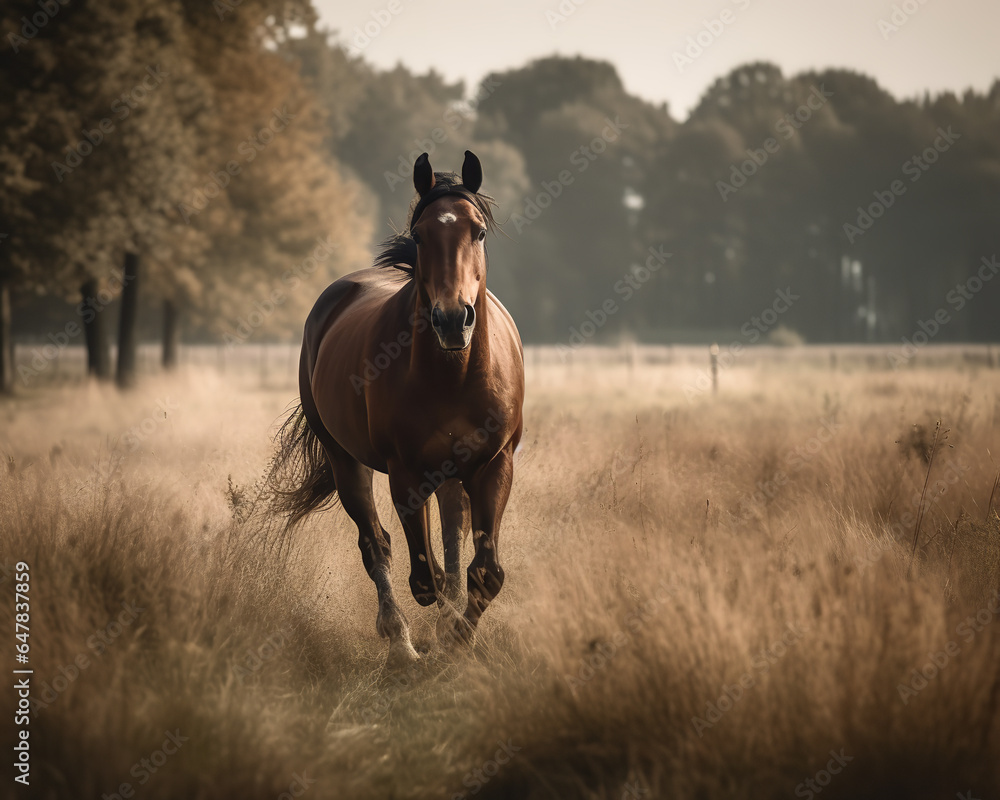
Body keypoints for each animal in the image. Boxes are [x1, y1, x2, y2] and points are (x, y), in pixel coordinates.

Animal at [273, 151, 524, 666]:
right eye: (421, 234)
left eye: (478, 232)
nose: (453, 319)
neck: (453, 373)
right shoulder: (406, 473)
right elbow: (424, 576)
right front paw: (440, 638)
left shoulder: (495, 464)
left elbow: (483, 571)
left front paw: (458, 641)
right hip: (345, 460)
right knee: (377, 545)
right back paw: (401, 642)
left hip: (450, 473)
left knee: (449, 537)